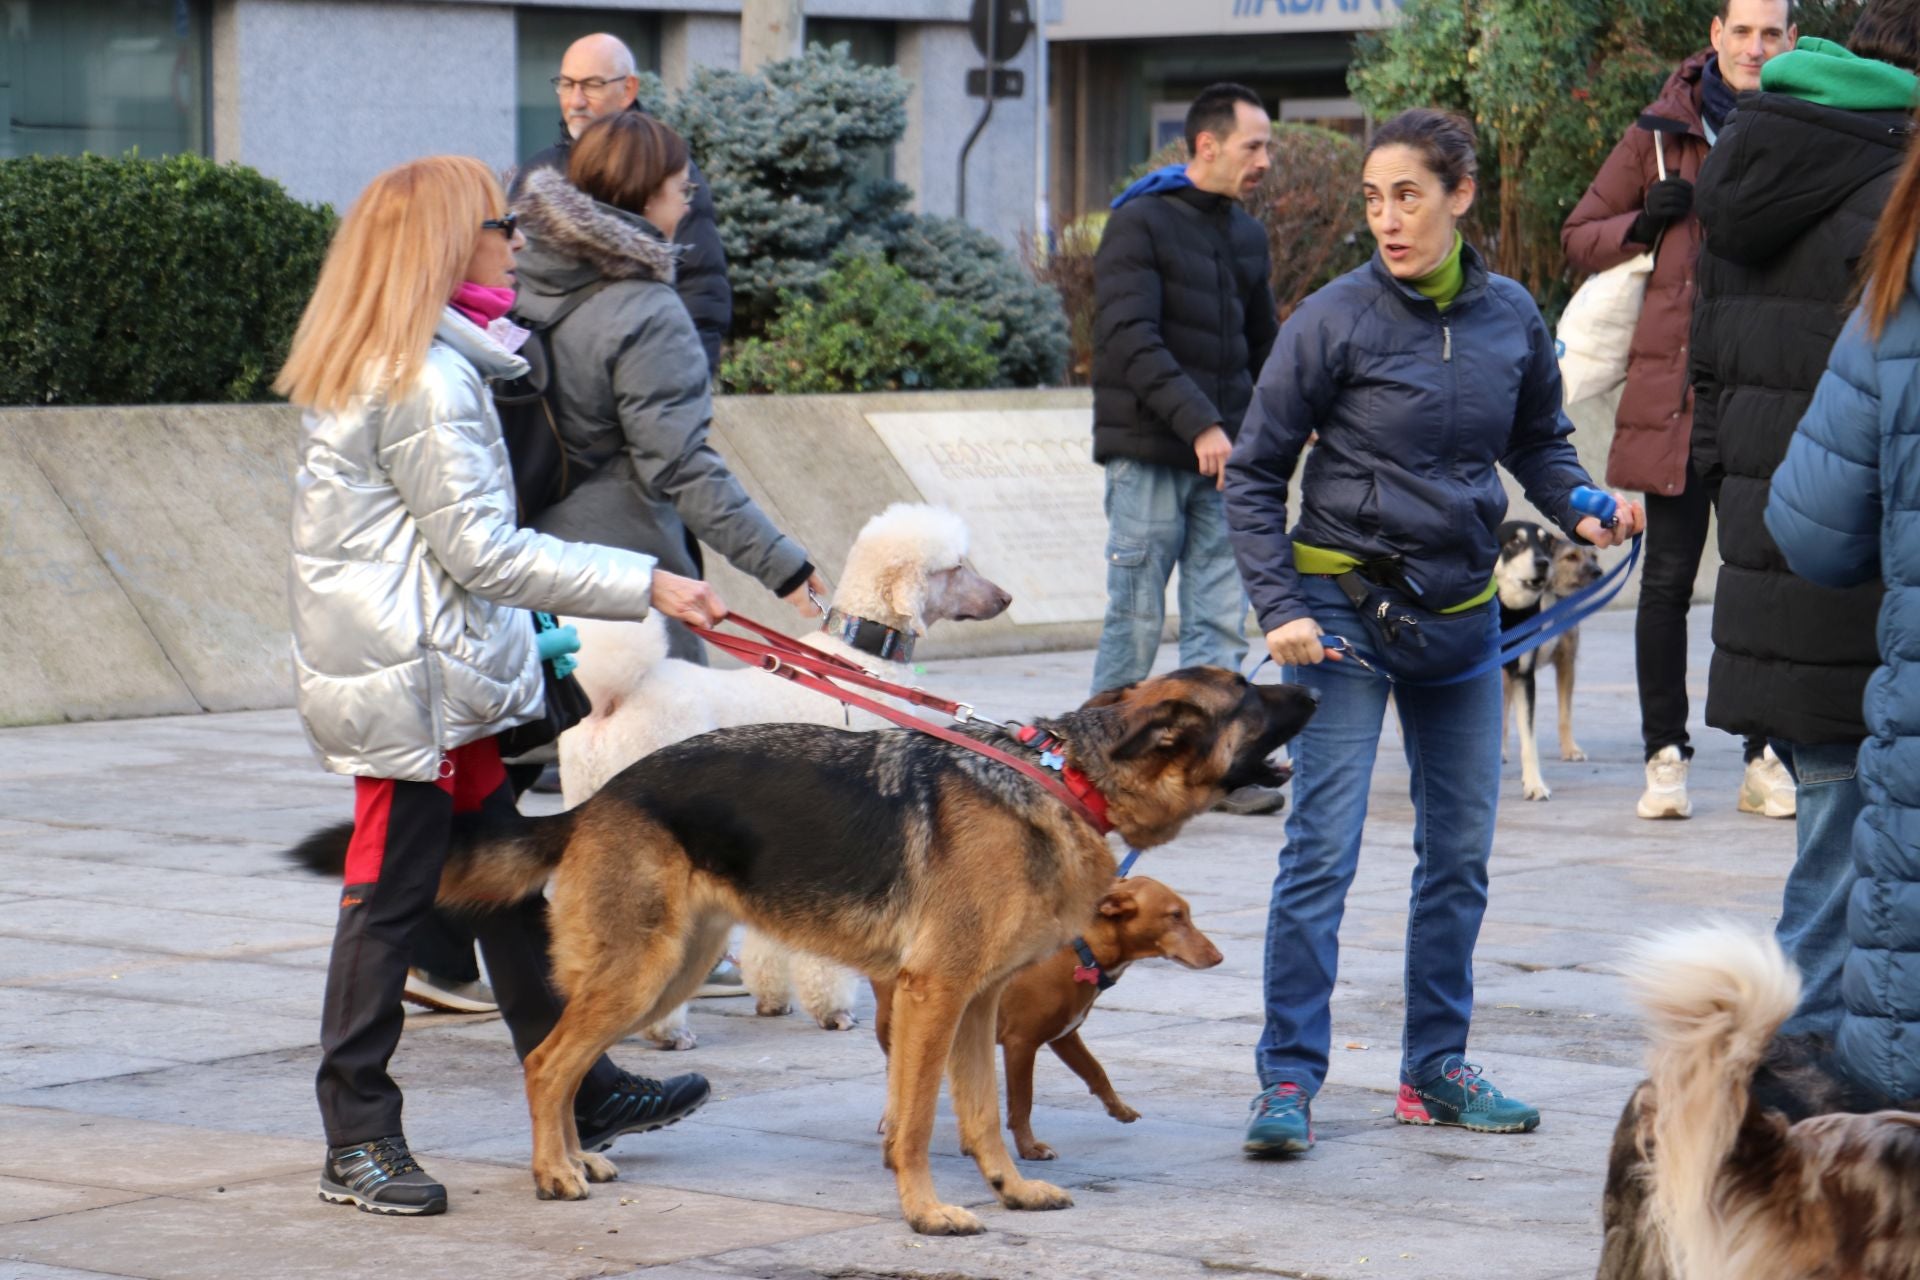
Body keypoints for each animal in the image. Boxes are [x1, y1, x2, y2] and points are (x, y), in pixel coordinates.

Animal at [871, 875, 1213, 1166]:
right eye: (1175, 916)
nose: (1218, 957)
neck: (1082, 952)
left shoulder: (1065, 1036)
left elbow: (1096, 1072)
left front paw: (1119, 1109)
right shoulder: (1021, 1044)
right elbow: (1022, 1102)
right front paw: (1029, 1148)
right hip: (893, 1022)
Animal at [1497, 521, 1605, 802]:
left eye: (1594, 557)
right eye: (1571, 557)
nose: (1598, 572)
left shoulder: (1565, 661)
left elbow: (1563, 714)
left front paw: (1570, 750)